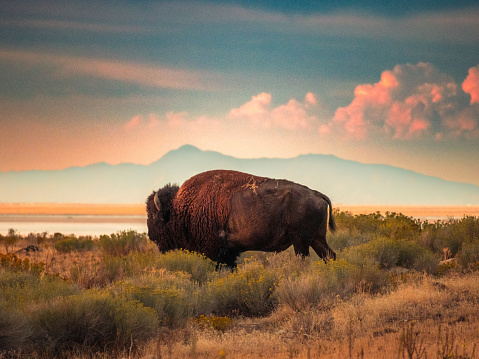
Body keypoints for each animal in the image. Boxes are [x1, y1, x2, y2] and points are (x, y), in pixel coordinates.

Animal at [146, 171, 338, 268]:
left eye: (154, 216)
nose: (150, 235)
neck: (181, 207)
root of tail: (317, 194)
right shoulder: (228, 252)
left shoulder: (215, 251)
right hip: (316, 238)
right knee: (329, 255)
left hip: (301, 241)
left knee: (304, 259)